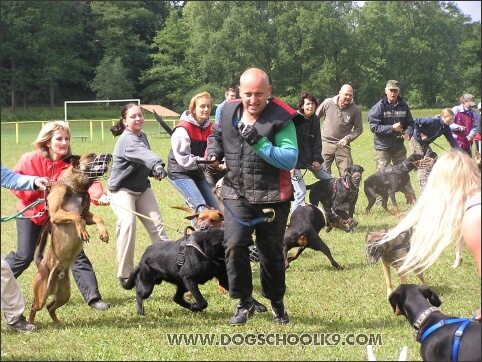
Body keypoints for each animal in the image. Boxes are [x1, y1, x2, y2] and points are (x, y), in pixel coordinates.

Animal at [29, 153, 110, 326]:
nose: (109, 155)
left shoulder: (87, 215)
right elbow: (75, 216)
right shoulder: (55, 214)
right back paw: (31, 324)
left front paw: (103, 233)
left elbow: (97, 217)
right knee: (35, 307)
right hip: (41, 294)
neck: (76, 189)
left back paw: (58, 322)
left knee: (50, 307)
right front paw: (82, 231)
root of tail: (41, 265)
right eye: (92, 155)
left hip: (64, 294)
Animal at [118, 228, 266, 316]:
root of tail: (142, 259)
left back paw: (189, 307)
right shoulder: (189, 279)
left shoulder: (223, 280)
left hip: (181, 285)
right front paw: (196, 306)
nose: (255, 247)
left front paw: (258, 306)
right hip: (148, 286)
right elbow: (202, 302)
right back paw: (140, 312)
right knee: (139, 294)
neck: (207, 253)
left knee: (176, 298)